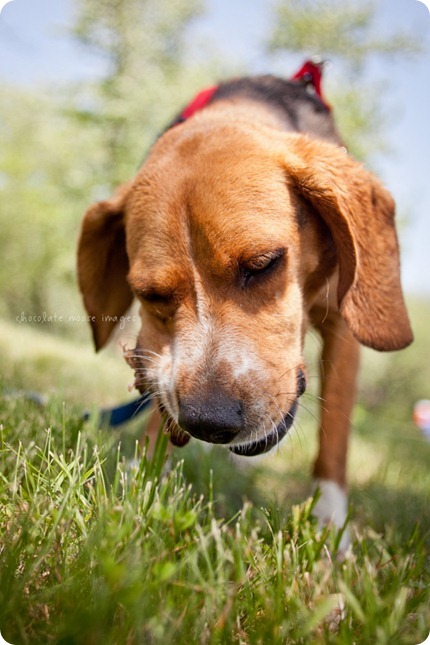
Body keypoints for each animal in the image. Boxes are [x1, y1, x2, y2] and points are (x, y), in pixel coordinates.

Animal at [77, 71, 414, 548]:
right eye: (151, 294)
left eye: (263, 264)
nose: (208, 422)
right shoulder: (159, 348)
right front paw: (142, 482)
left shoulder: (344, 327)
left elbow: (335, 436)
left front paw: (330, 526)